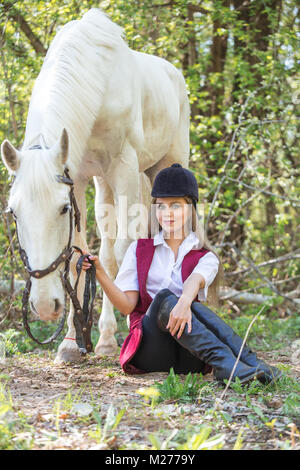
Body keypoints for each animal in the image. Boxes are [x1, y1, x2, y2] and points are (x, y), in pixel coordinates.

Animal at [1, 8, 189, 364]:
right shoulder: (78, 178)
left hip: (167, 166)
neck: (95, 84)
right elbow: (79, 255)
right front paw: (70, 343)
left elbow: (121, 251)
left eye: (61, 209)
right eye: (14, 213)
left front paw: (120, 334)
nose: (44, 306)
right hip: (106, 185)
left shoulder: (123, 169)